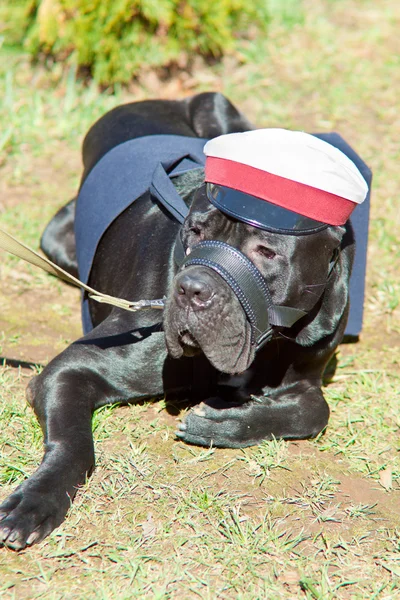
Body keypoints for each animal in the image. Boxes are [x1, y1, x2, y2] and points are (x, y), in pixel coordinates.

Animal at [0, 92, 356, 548]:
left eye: (266, 251)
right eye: (195, 232)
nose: (191, 288)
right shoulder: (72, 367)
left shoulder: (309, 365)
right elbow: (74, 444)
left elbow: (315, 410)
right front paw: (35, 501)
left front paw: (223, 423)